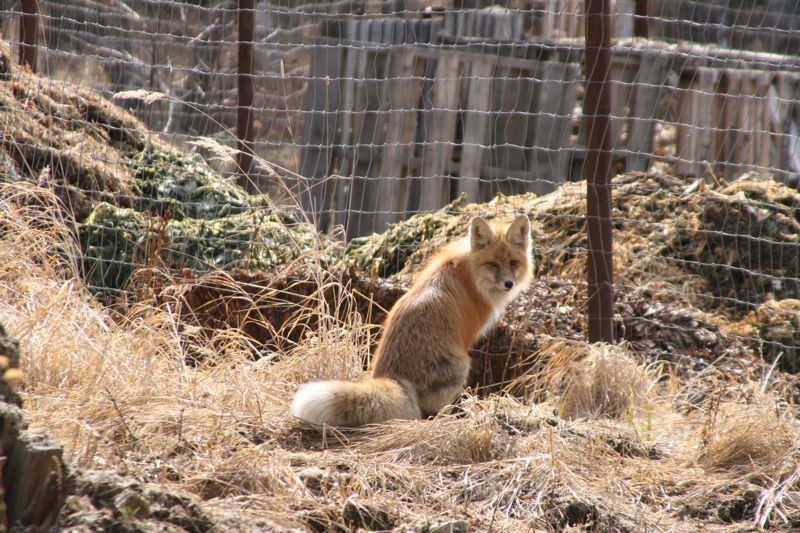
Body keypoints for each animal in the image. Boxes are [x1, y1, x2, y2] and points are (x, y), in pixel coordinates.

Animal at [292, 214, 532, 426]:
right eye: (493, 264)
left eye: (513, 263)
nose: (509, 283)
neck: (470, 273)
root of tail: (393, 376)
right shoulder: (466, 340)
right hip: (461, 365)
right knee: (428, 412)